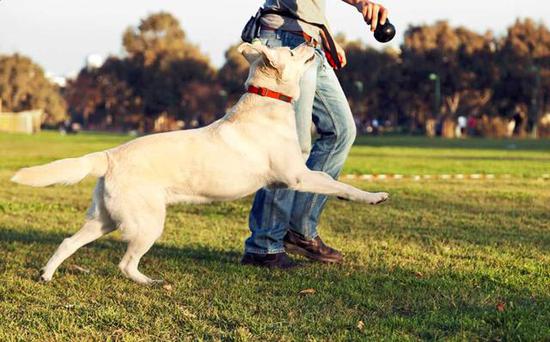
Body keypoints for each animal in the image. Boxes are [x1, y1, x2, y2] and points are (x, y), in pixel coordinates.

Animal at [10, 42, 390, 284]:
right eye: (293, 51)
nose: (312, 43)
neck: (267, 102)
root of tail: (110, 155)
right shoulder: (297, 176)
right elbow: (338, 182)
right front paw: (373, 197)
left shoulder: (293, 178)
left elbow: (329, 182)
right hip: (147, 223)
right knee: (125, 263)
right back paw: (149, 281)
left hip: (104, 220)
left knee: (68, 242)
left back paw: (46, 275)